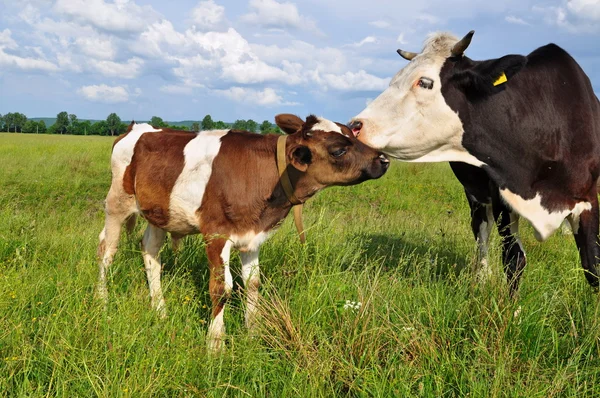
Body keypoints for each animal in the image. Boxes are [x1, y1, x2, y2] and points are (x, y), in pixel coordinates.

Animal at [97, 113, 390, 350]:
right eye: (338, 150)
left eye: (352, 132)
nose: (384, 159)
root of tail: (138, 127)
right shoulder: (216, 234)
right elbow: (221, 289)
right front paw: (215, 345)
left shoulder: (252, 238)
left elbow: (253, 283)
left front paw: (253, 332)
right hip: (117, 202)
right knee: (106, 250)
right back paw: (102, 299)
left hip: (160, 213)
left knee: (150, 251)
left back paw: (159, 309)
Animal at [350, 30, 600, 292]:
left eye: (425, 82)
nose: (355, 125)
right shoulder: (501, 195)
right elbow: (514, 259)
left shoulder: (589, 199)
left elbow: (592, 265)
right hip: (476, 196)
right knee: (481, 231)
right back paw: (481, 277)